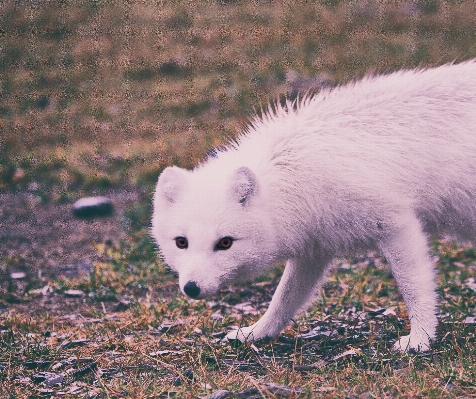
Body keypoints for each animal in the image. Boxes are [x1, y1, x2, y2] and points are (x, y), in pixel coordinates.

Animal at [152, 60, 476, 354]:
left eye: (225, 243)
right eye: (181, 242)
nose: (191, 287)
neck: (293, 178)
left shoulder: (397, 224)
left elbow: (414, 287)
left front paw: (420, 338)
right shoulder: (313, 248)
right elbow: (283, 299)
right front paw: (255, 333)